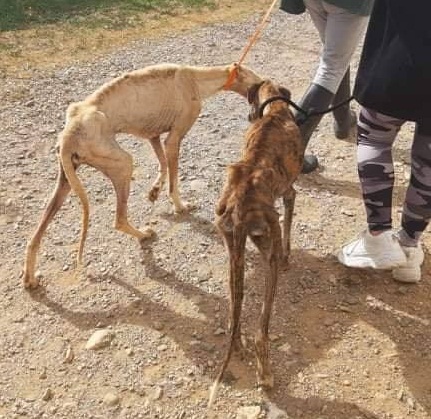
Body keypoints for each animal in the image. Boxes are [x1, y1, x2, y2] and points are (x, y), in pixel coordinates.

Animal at [24, 64, 264, 290]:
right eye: (257, 81)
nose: (268, 86)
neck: (195, 78)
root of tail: (68, 135)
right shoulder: (173, 138)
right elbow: (173, 179)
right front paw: (180, 206)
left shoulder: (154, 136)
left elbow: (163, 166)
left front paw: (154, 192)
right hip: (123, 164)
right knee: (119, 219)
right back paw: (143, 235)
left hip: (66, 180)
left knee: (33, 238)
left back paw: (29, 278)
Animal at [209, 79, 304, 406]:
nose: (249, 117)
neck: (274, 112)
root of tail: (239, 208)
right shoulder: (289, 193)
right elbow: (288, 223)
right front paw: (290, 256)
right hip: (267, 252)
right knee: (261, 330)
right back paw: (265, 375)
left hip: (232, 251)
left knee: (234, 313)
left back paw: (236, 343)